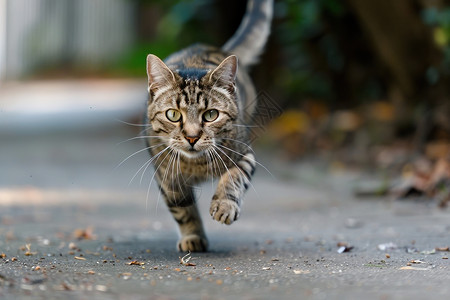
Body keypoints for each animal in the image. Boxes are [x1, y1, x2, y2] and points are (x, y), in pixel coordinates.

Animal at [144, 0, 272, 252]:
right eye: (173, 115)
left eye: (211, 115)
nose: (192, 137)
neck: (197, 166)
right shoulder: (166, 176)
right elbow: (183, 209)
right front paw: (192, 236)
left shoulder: (245, 154)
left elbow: (235, 176)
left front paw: (224, 205)